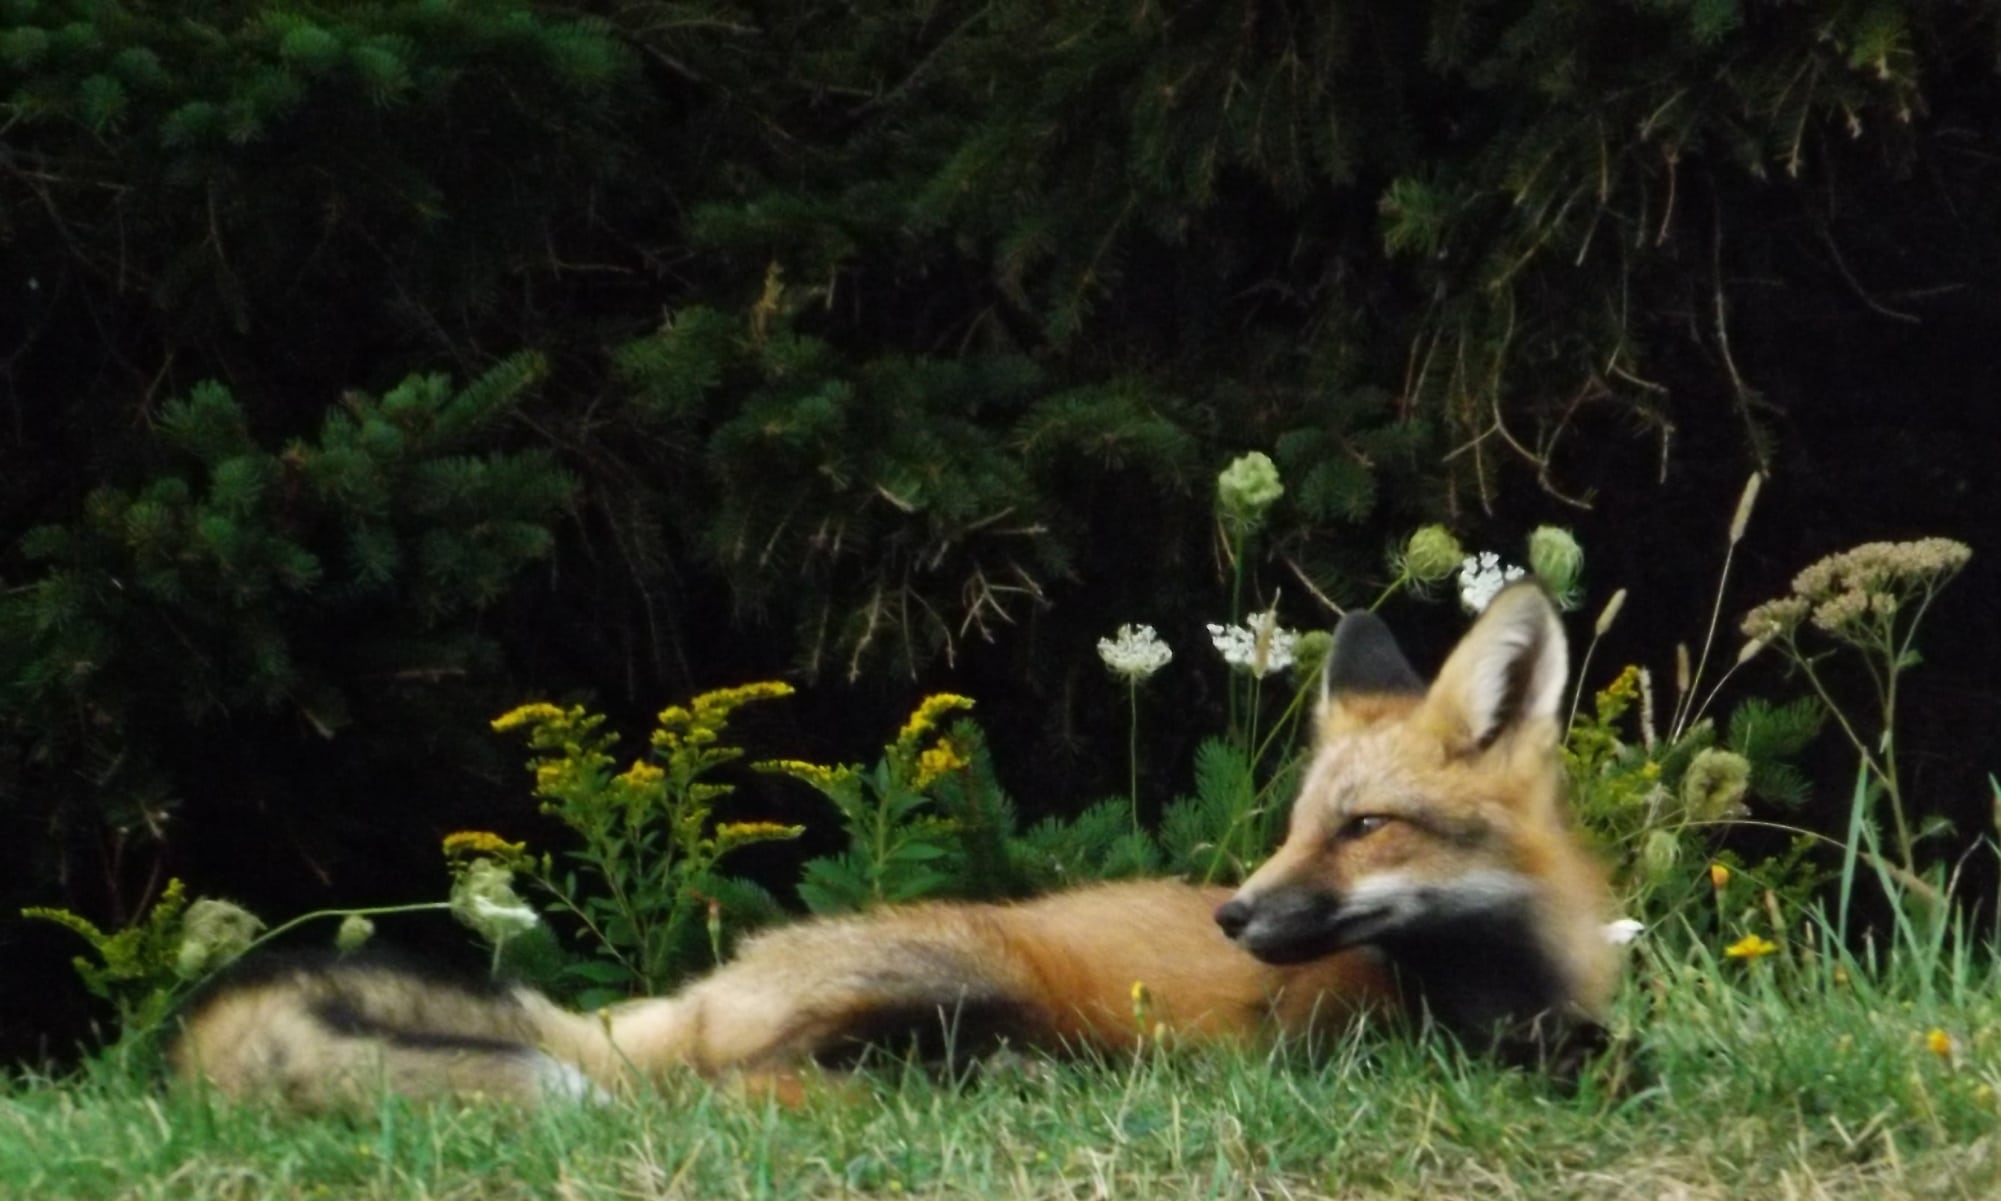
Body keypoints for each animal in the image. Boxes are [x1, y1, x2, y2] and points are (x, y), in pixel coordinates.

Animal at [166, 582, 1620, 1109]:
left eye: (1361, 826)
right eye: (1297, 824)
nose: (1233, 918)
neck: (1513, 976)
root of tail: (700, 989)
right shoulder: (1382, 1043)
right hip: (955, 984)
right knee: (719, 1094)